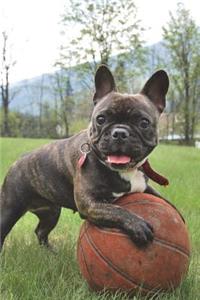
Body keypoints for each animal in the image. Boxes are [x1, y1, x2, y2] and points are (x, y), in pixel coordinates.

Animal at [0, 66, 171, 251]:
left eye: (144, 123)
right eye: (101, 119)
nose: (119, 132)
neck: (126, 171)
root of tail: (18, 161)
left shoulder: (144, 187)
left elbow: (165, 202)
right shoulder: (90, 204)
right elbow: (117, 210)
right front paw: (138, 225)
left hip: (51, 212)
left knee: (41, 231)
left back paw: (50, 252)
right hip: (9, 209)